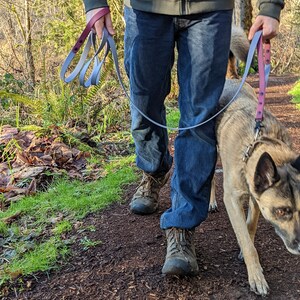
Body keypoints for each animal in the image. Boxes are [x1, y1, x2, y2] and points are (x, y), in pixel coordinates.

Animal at [211, 27, 300, 296]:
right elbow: (247, 240)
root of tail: (230, 79)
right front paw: (256, 276)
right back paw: (210, 201)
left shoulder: (256, 198)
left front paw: (245, 246)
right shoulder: (232, 199)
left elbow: (249, 227)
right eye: (282, 211)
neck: (258, 145)